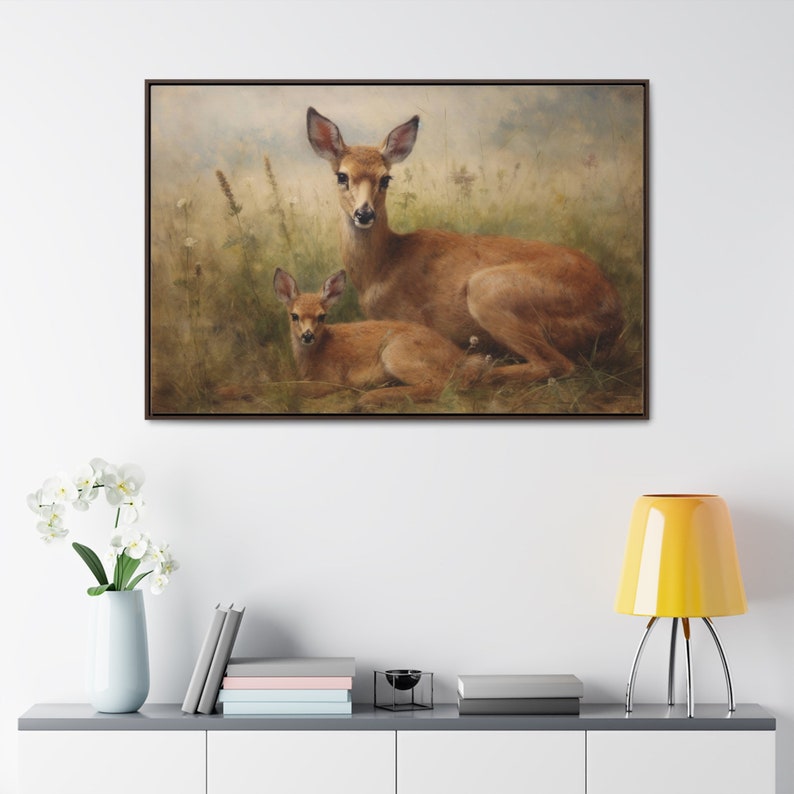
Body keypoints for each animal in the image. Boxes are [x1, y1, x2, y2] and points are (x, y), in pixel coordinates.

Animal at [273, 267, 485, 412]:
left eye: (322, 316)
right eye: (294, 316)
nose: (308, 335)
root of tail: (459, 356)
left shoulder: (331, 379)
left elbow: (292, 387)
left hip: (396, 354)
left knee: (441, 384)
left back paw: (368, 399)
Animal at [307, 106, 625, 384]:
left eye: (386, 178)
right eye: (342, 176)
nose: (364, 214)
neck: (383, 266)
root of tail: (614, 315)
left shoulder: (413, 319)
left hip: (490, 290)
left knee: (557, 364)